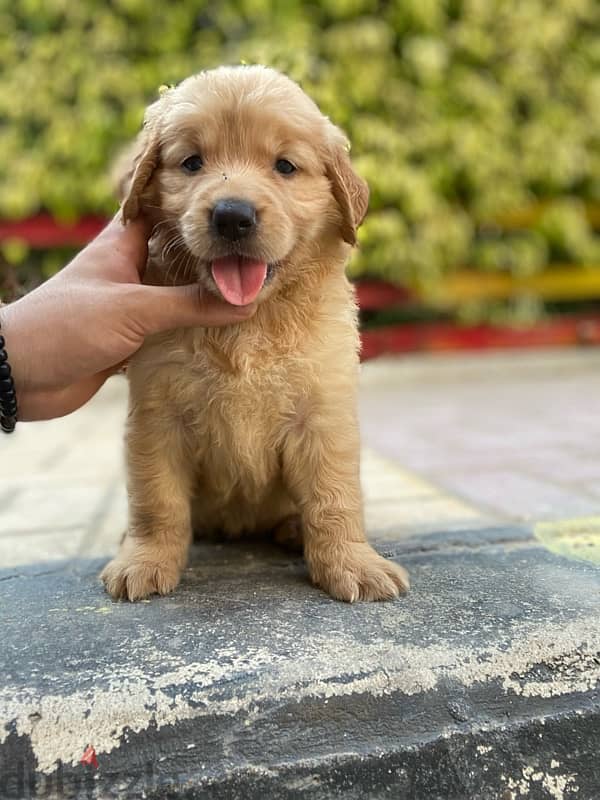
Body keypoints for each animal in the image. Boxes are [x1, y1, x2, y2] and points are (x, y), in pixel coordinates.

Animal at [102, 65, 408, 604]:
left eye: (285, 166)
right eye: (192, 162)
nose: (232, 215)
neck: (248, 323)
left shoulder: (322, 413)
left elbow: (334, 496)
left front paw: (352, 564)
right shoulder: (157, 416)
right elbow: (156, 500)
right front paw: (144, 560)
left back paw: (293, 529)